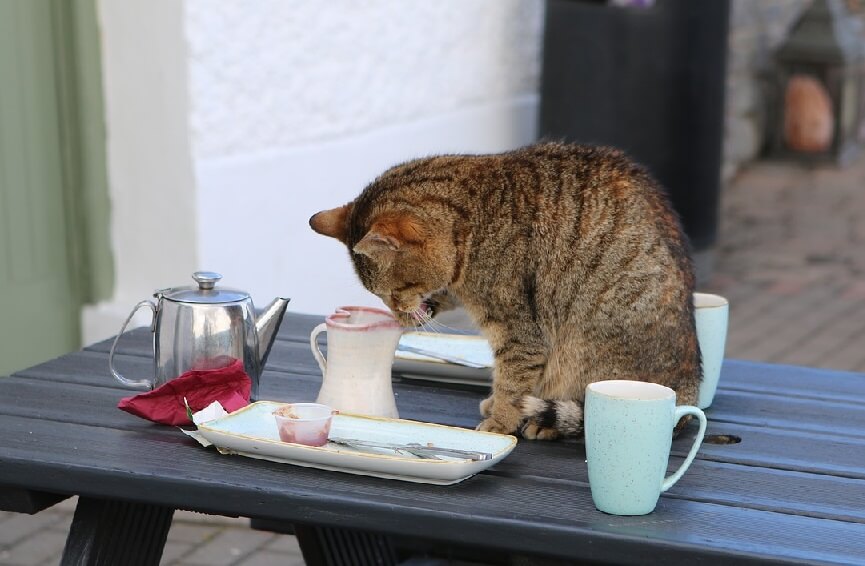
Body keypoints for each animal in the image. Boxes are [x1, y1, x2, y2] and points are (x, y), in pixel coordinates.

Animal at [310, 141, 704, 440]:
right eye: (381, 296)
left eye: (393, 292)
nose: (398, 315)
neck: (473, 222)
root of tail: (687, 391)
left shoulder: (519, 334)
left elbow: (512, 383)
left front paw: (500, 422)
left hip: (585, 349)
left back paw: (545, 424)